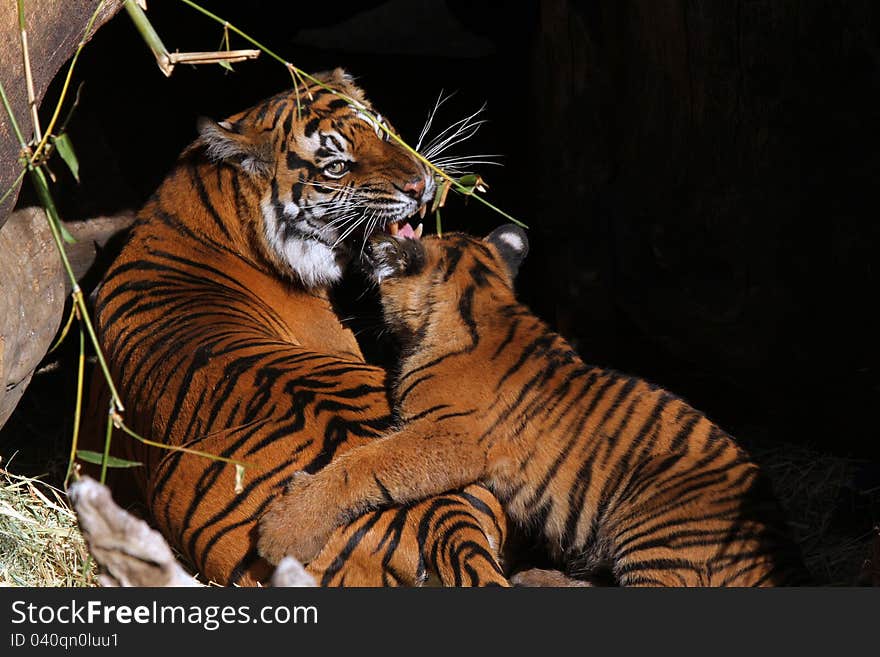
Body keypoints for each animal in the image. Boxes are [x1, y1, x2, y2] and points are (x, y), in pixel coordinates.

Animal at [258, 224, 816, 584]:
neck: (482, 298)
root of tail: (780, 543)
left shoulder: (446, 439)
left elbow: (365, 464)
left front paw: (283, 528)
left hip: (655, 534)